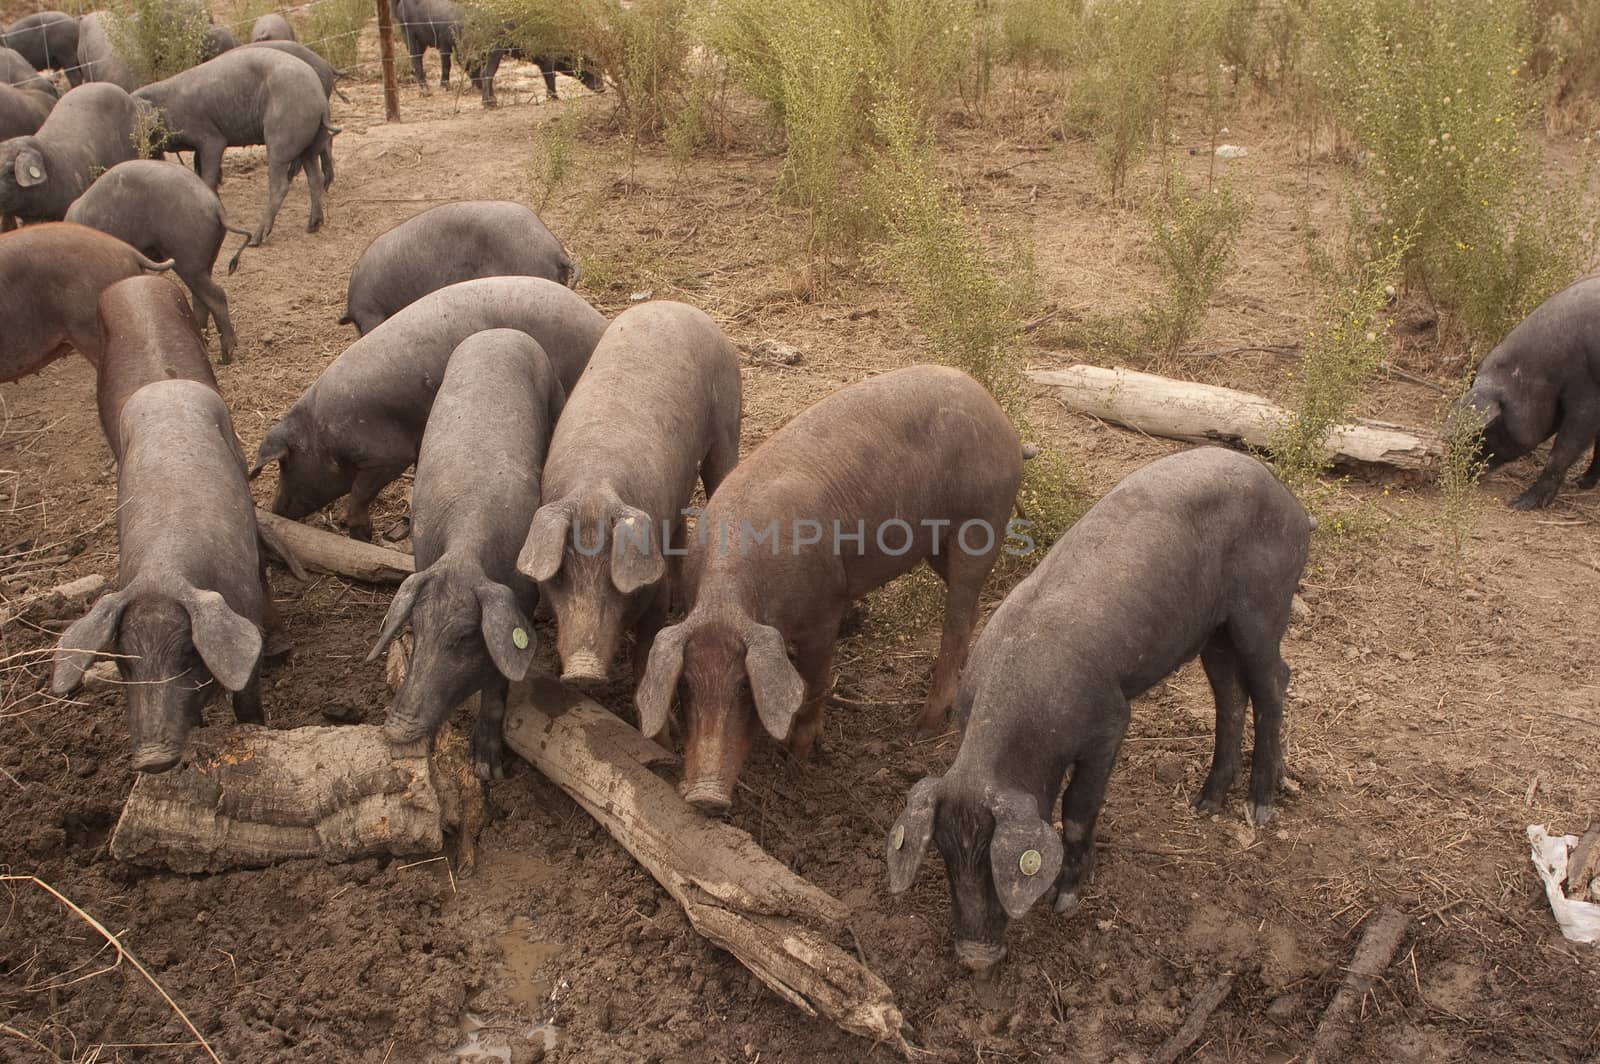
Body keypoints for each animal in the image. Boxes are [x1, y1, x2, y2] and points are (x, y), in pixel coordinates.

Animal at [630, 364, 1017, 812]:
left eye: (744, 686)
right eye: (686, 688)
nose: (705, 796)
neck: (730, 598)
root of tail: (999, 415)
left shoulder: (824, 611)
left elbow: (814, 682)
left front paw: (798, 757)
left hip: (981, 523)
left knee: (957, 618)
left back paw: (921, 727)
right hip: (938, 546)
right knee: (970, 610)